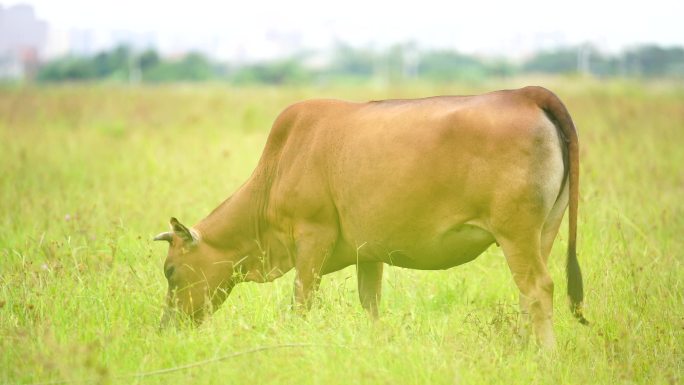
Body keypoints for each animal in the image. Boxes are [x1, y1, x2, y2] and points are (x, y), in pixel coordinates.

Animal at [155, 86, 588, 348]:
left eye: (170, 271)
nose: (167, 327)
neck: (279, 164)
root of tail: (526, 94)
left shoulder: (312, 237)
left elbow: (301, 300)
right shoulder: (369, 253)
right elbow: (371, 304)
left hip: (517, 235)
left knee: (539, 288)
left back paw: (542, 355)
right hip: (543, 232)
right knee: (527, 294)